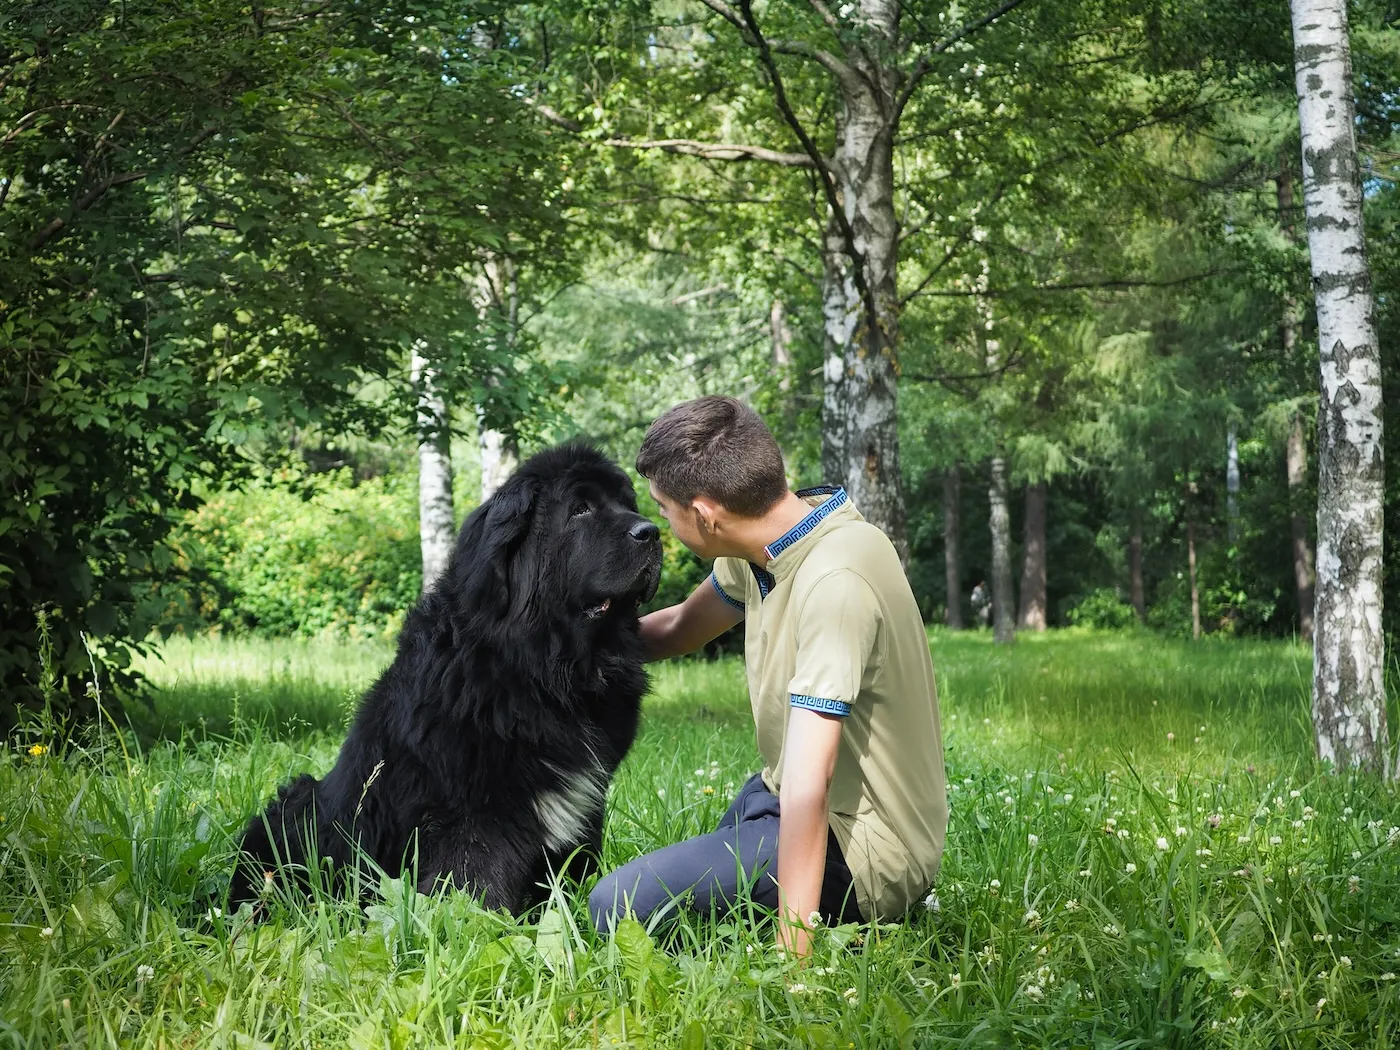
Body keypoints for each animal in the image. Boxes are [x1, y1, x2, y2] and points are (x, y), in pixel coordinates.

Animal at [228, 442, 660, 912]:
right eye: (580, 509)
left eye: (627, 504)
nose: (653, 532)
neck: (543, 669)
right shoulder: (479, 813)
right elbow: (474, 878)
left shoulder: (584, 802)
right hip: (295, 811)